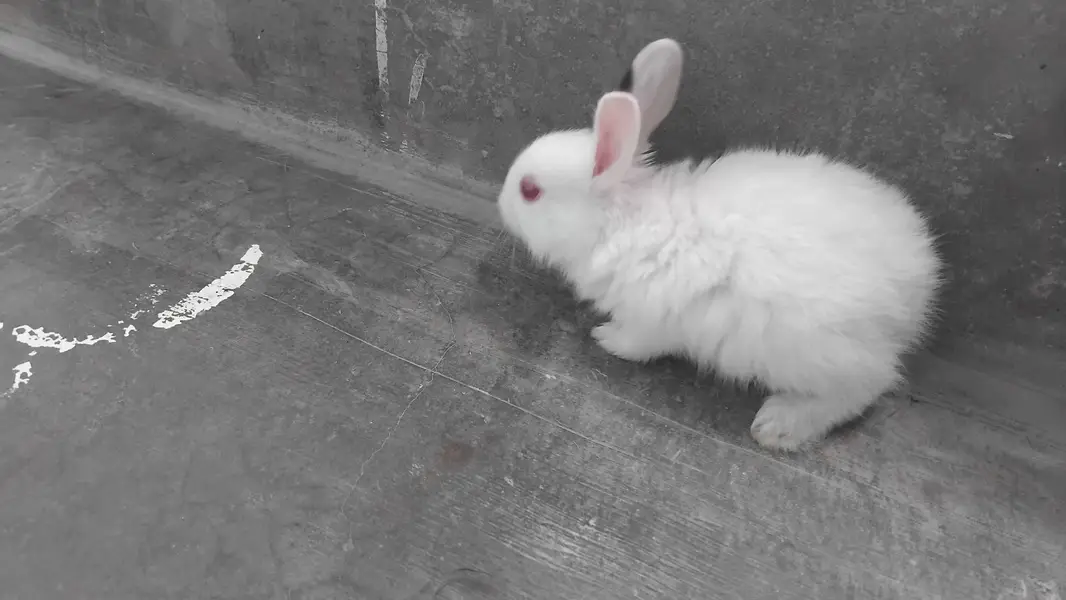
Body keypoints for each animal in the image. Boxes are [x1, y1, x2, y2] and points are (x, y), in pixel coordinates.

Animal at [496, 38, 943, 450]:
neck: (617, 223)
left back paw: (778, 425)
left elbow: (638, 344)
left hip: (822, 353)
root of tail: (919, 287)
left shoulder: (652, 317)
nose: (500, 204)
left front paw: (605, 338)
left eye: (530, 190)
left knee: (864, 387)